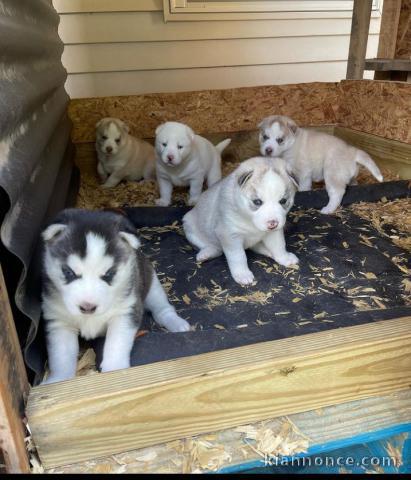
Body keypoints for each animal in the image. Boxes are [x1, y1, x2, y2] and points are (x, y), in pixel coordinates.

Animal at [40, 208, 192, 384]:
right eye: (69, 272)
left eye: (109, 274)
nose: (87, 307)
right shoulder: (58, 322)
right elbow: (61, 356)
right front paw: (59, 380)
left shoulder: (125, 313)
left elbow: (116, 345)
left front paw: (115, 370)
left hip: (152, 284)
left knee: (163, 309)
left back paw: (177, 323)